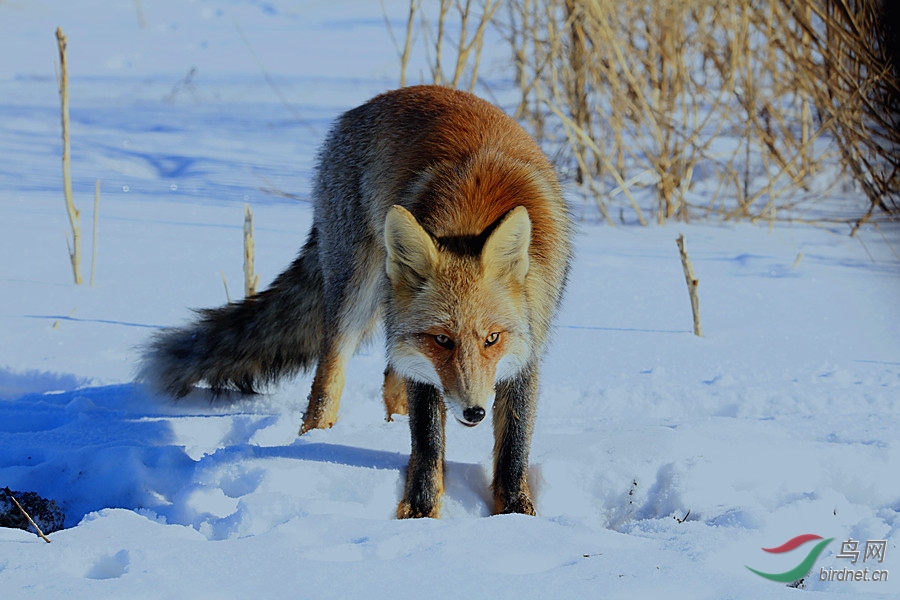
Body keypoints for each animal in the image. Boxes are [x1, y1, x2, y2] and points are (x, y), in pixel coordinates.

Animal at [144, 85, 572, 520]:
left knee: (391, 380)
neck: (473, 208)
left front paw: (515, 515)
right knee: (327, 381)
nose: (474, 413)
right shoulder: (426, 364)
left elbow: (513, 445)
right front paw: (421, 514)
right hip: (355, 294)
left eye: (492, 338)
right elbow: (428, 441)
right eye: (442, 339)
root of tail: (377, 99)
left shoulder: (526, 348)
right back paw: (310, 443)